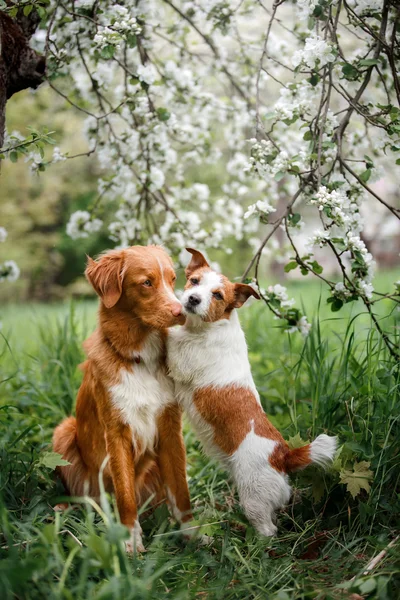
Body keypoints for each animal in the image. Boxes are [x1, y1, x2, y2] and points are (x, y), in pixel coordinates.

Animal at [52, 245, 192, 552]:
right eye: (147, 282)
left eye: (173, 279)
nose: (181, 312)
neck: (140, 358)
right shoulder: (116, 433)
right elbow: (125, 495)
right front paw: (129, 541)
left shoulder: (170, 429)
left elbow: (181, 489)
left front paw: (195, 534)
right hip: (64, 432)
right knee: (86, 497)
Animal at [167, 246, 340, 536]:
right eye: (194, 281)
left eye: (217, 295)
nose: (192, 299)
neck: (209, 327)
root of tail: (283, 455)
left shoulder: (181, 360)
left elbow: (168, 337)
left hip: (253, 498)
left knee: (267, 529)